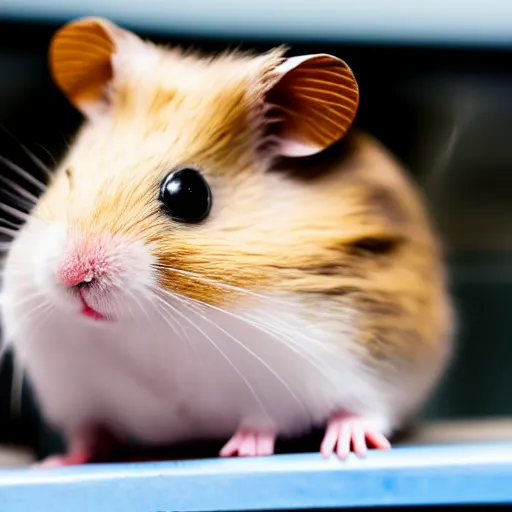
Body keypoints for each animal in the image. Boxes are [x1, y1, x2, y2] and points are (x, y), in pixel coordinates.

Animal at [1, 18, 456, 466]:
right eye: (70, 175)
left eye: (188, 194)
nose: (72, 275)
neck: (142, 330)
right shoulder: (78, 395)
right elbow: (89, 433)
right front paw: (57, 461)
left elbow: (272, 419)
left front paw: (242, 450)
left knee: (363, 413)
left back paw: (344, 446)